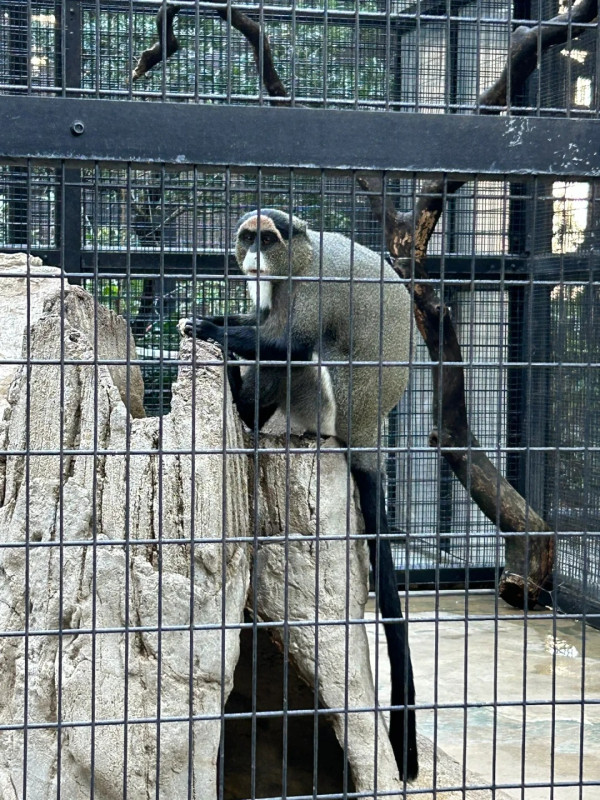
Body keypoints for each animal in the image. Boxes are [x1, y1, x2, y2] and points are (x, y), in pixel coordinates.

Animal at [182, 208, 418, 780]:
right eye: (247, 237)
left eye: (268, 239)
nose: (252, 256)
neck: (296, 260)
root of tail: (368, 432)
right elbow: (256, 321)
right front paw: (211, 319)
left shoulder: (311, 291)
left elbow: (287, 345)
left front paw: (208, 329)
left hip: (332, 400)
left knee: (308, 356)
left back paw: (245, 411)